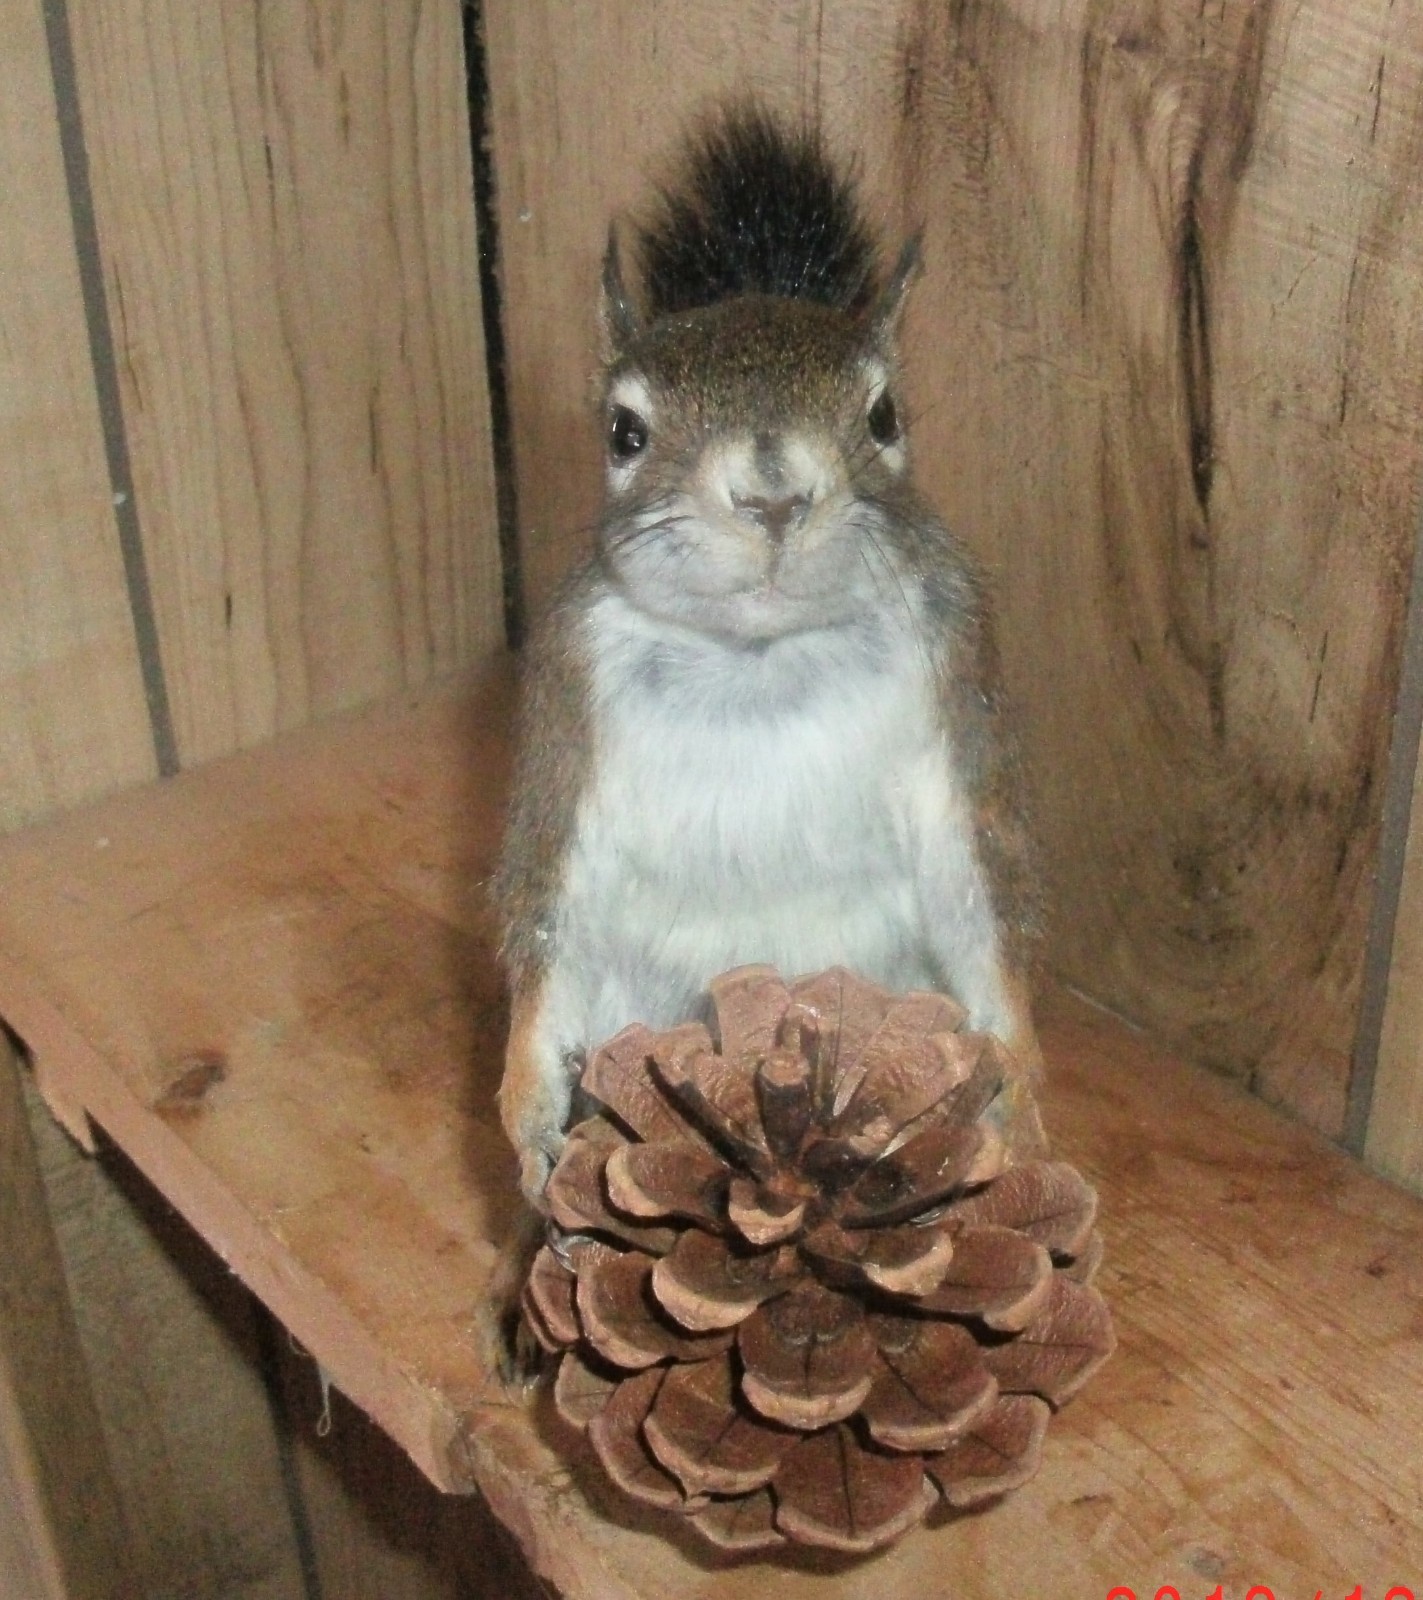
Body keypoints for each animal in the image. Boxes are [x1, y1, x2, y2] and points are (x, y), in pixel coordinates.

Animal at [493, 104, 1045, 1213]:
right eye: (621, 430)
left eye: (886, 416)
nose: (773, 495)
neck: (758, 657)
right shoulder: (567, 717)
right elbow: (549, 914)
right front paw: (526, 1112)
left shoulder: (958, 688)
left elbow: (981, 899)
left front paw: (1020, 1096)